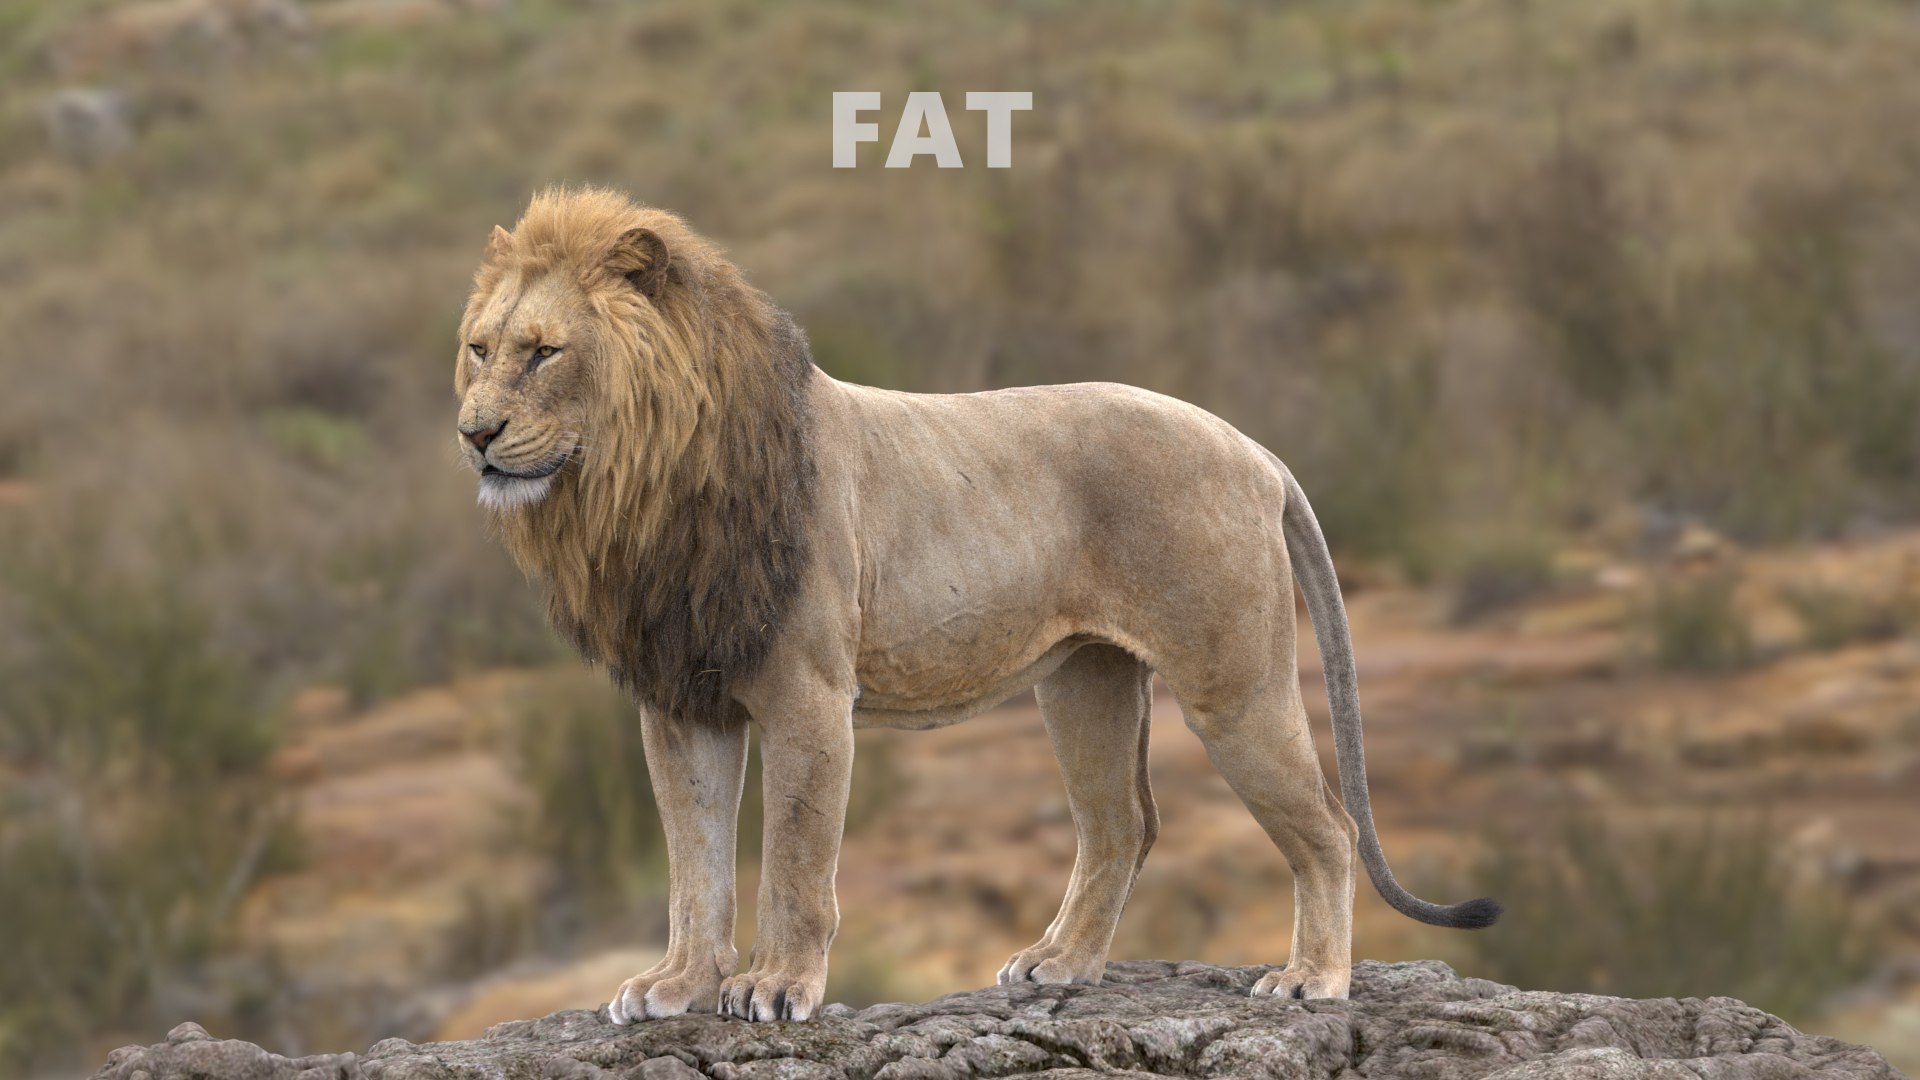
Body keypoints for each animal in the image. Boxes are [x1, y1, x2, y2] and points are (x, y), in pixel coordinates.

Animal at [454, 188, 1499, 1024]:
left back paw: (1313, 979)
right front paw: (676, 986)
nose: (474, 433)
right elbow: (693, 861)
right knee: (1122, 823)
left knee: (1326, 826)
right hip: (1084, 682)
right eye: (478, 349)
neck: (641, 490)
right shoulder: (681, 701)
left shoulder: (808, 696)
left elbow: (794, 860)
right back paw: (1060, 966)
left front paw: (777, 988)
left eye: (543, 354)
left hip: (1230, 684)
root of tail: (1252, 446)